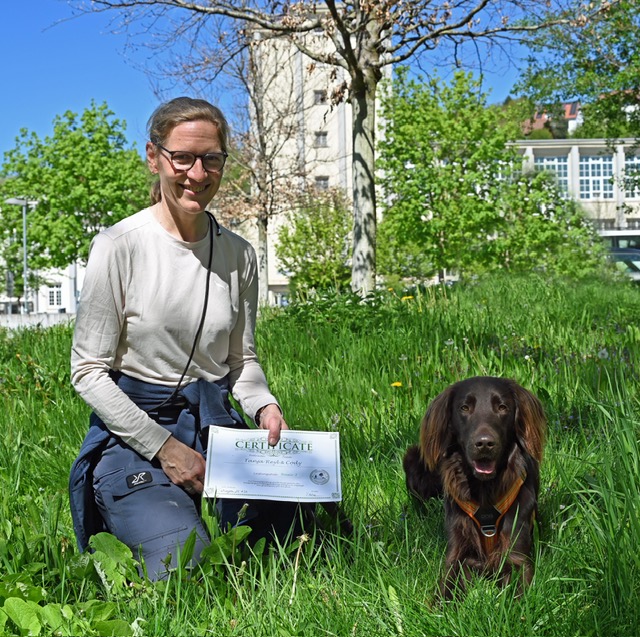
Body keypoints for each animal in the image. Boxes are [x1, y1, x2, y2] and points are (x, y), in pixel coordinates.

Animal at [403, 376, 546, 598]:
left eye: (502, 407)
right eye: (464, 408)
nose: (485, 443)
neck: (484, 490)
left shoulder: (516, 554)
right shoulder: (457, 554)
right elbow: (446, 586)